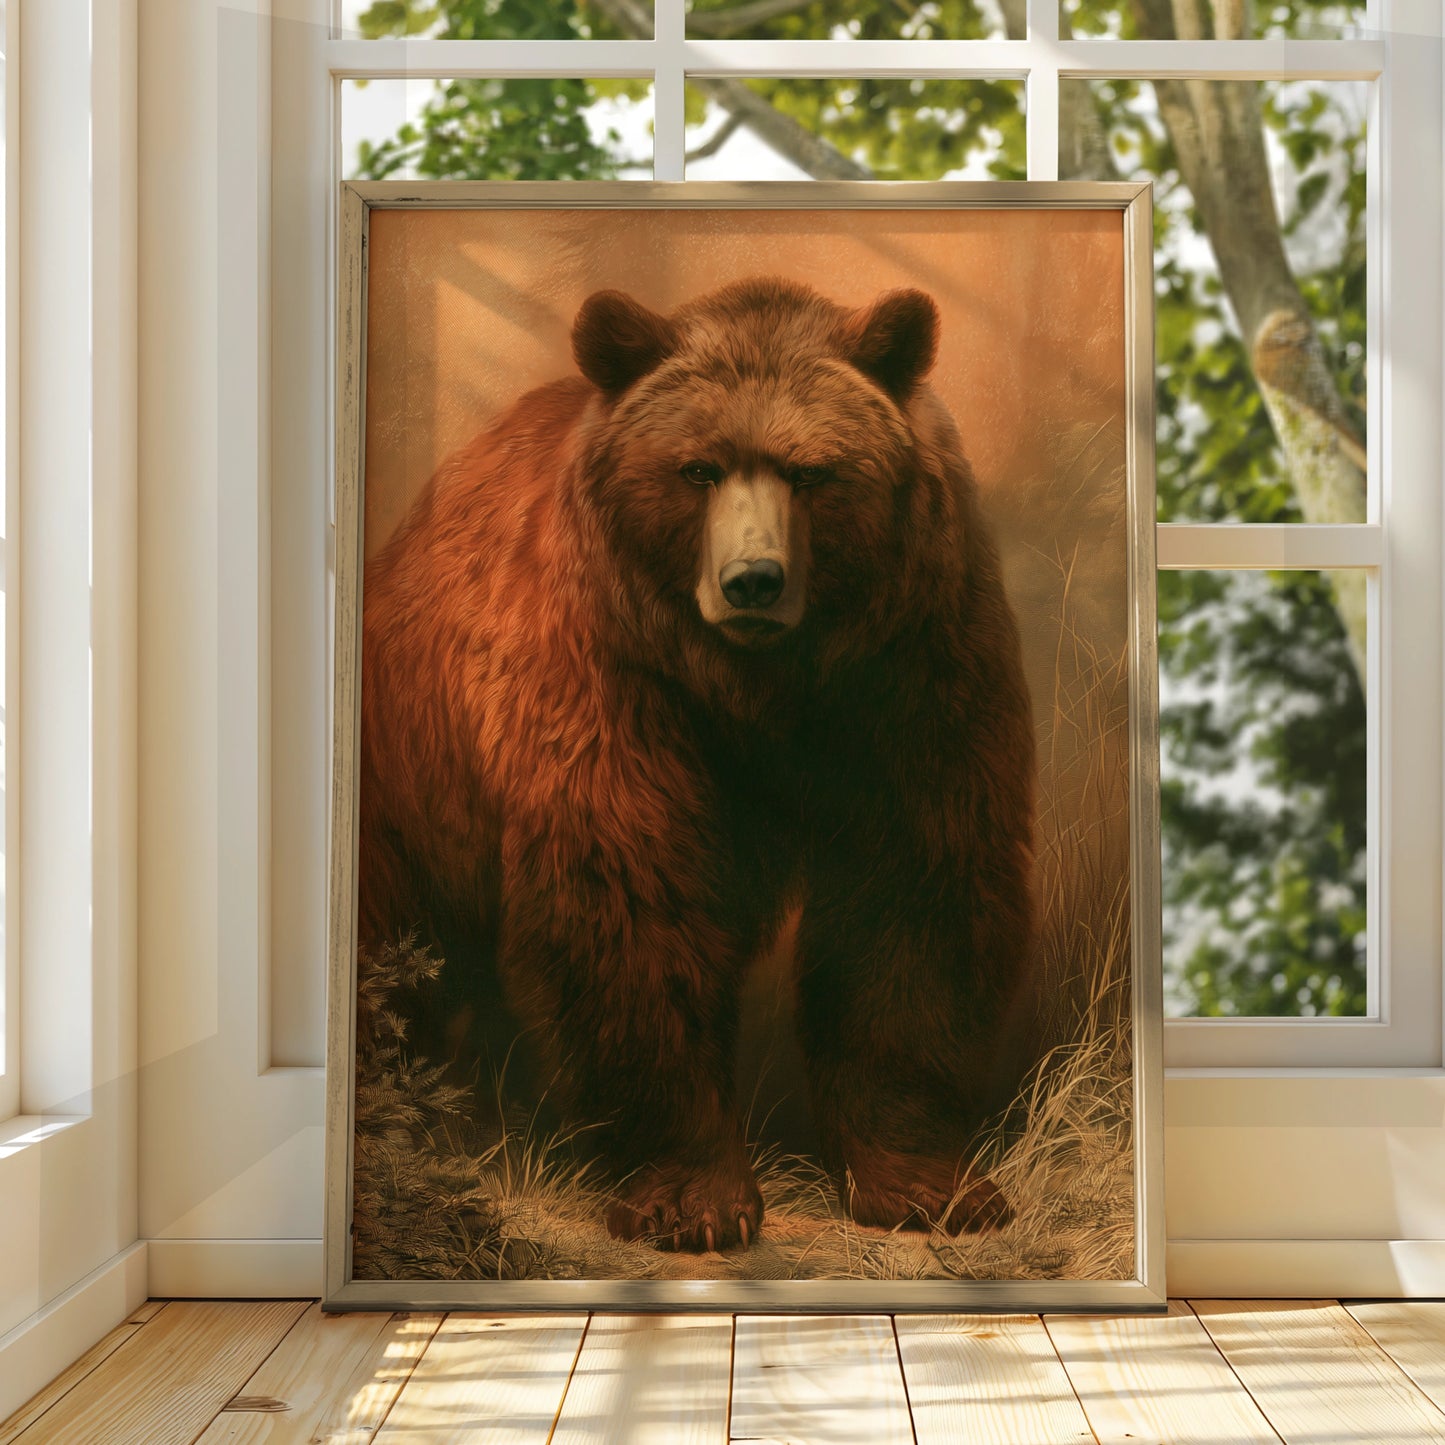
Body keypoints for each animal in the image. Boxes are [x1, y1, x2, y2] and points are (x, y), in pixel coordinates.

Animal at [356, 276, 1037, 1254]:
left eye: (811, 471)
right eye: (697, 469)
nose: (752, 579)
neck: (761, 684)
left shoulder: (915, 671)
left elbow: (913, 893)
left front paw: (926, 1184)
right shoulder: (614, 676)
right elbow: (633, 903)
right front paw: (692, 1199)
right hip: (408, 780)